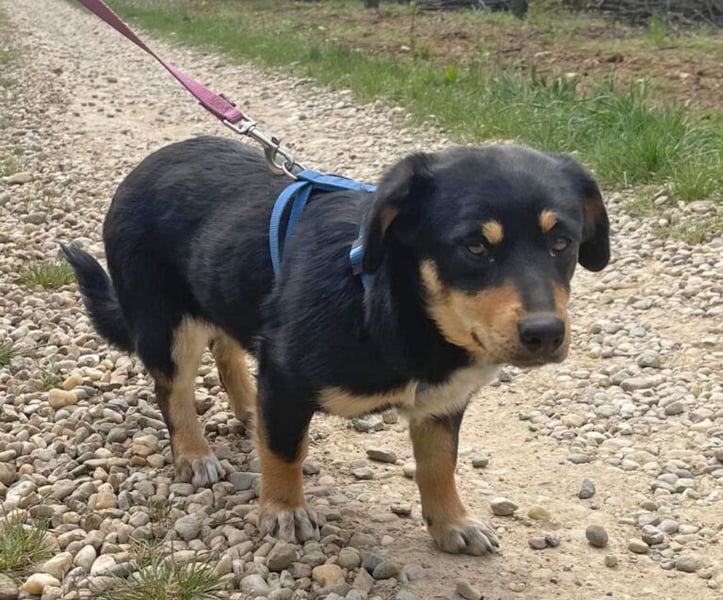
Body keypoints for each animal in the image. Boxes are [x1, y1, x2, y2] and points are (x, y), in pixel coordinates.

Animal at [62, 135, 609, 555]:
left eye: (562, 242)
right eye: (475, 246)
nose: (545, 333)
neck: (389, 301)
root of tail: (147, 165)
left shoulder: (442, 403)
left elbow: (439, 466)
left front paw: (452, 522)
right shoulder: (286, 379)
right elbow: (285, 452)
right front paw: (284, 510)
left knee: (228, 350)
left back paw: (248, 409)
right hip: (167, 326)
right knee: (173, 394)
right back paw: (195, 453)